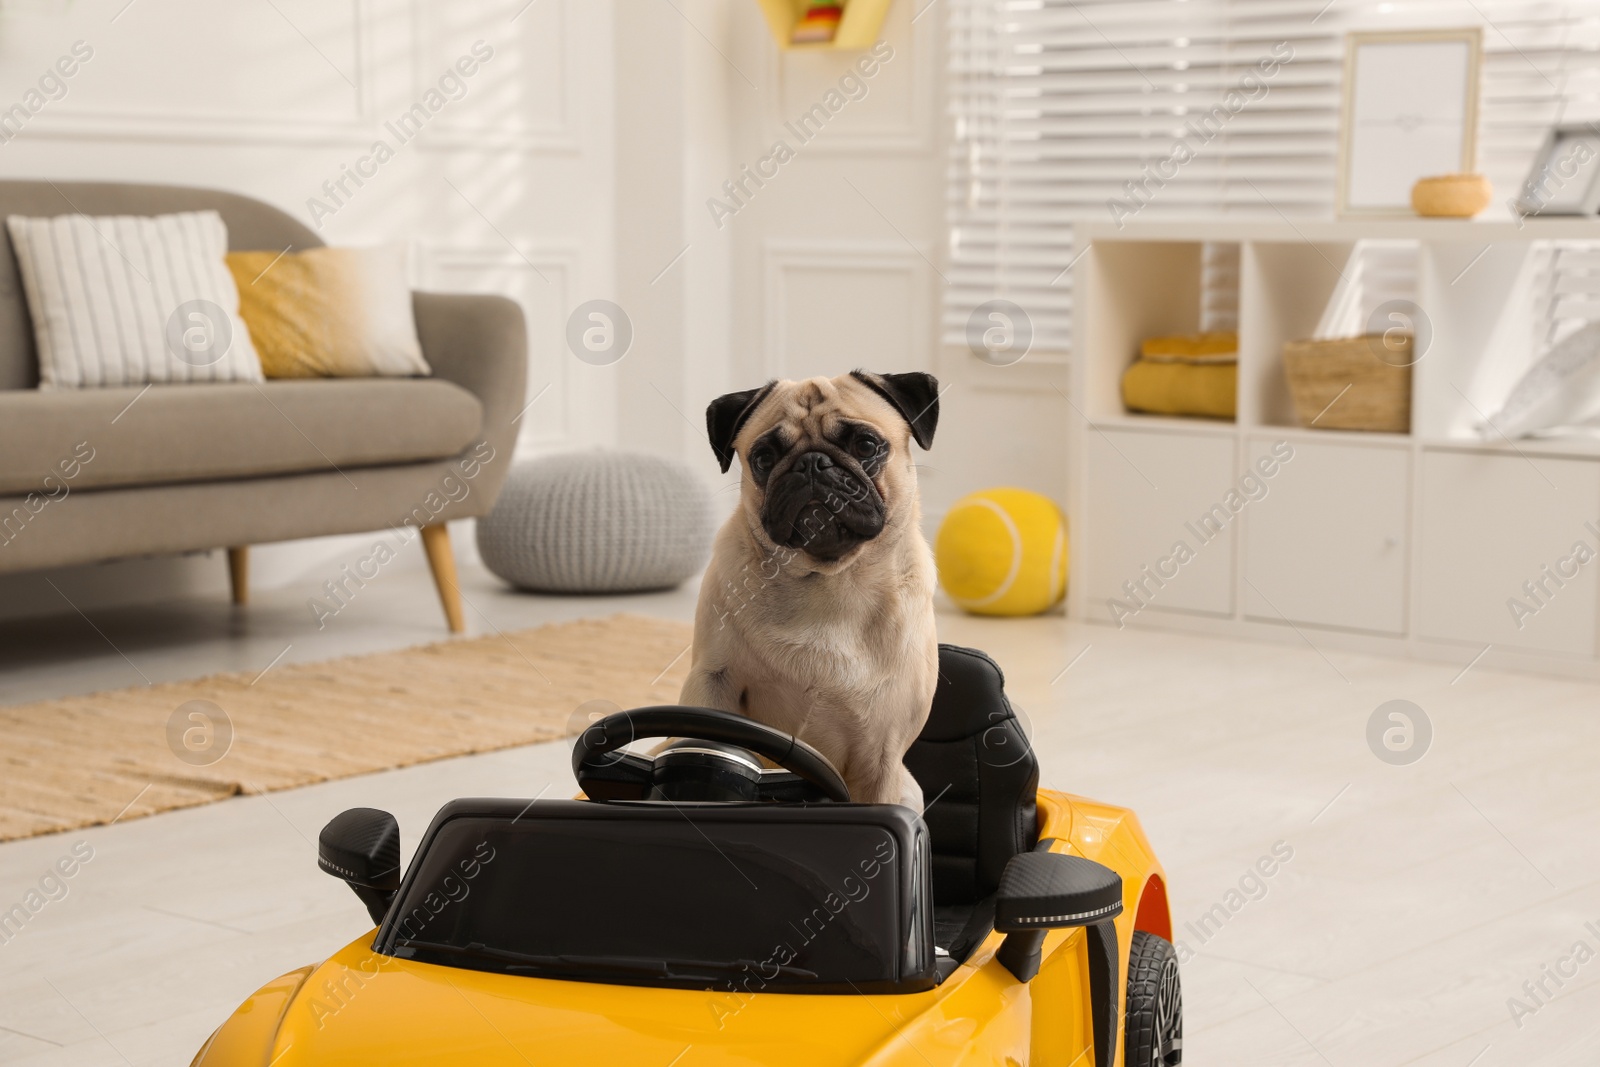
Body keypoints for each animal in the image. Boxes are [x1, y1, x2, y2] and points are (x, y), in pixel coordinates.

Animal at [681, 371, 940, 806]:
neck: (829, 581)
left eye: (866, 445)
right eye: (764, 458)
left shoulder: (883, 755)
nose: (811, 463)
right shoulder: (711, 682)